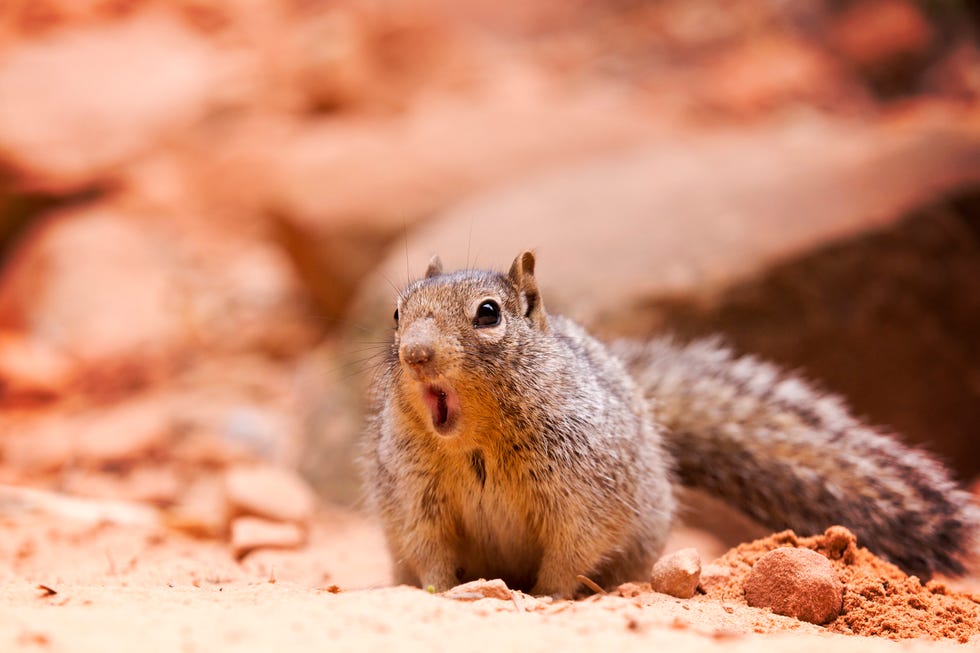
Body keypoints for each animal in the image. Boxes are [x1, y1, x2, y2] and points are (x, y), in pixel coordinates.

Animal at [362, 250, 980, 596]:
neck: (475, 442)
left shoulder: (586, 495)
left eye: (488, 314)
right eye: (396, 313)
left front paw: (546, 595)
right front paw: (439, 590)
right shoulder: (415, 498)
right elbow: (429, 550)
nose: (415, 354)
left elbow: (572, 552)